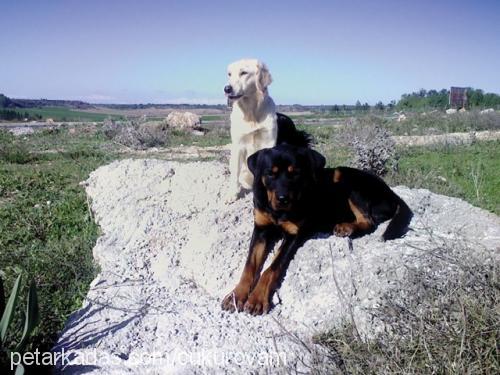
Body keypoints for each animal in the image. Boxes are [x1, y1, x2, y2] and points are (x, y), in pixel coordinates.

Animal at [223, 145, 414, 316]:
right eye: (271, 173)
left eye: (295, 173)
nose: (283, 199)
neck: (278, 211)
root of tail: (392, 193)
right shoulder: (261, 229)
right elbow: (249, 265)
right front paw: (236, 295)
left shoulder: (294, 234)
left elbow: (272, 268)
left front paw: (256, 298)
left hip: (346, 179)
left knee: (369, 221)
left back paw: (346, 227)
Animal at [226, 58, 280, 203]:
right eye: (229, 74)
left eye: (243, 73)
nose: (227, 88)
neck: (251, 112)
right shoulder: (238, 145)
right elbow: (235, 173)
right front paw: (232, 194)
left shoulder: (269, 142)